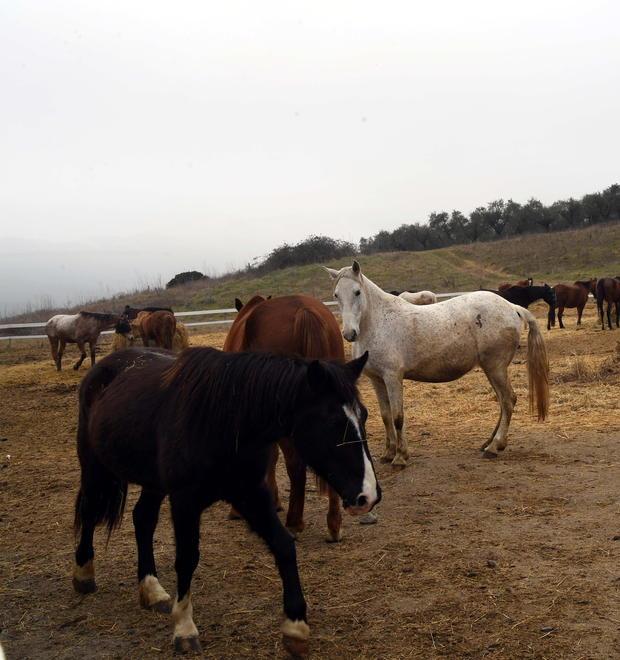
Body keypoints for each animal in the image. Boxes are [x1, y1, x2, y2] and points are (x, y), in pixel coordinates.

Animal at [72, 346, 379, 655]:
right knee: (90, 510)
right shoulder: (185, 501)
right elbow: (187, 558)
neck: (226, 423)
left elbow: (284, 546)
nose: (369, 496)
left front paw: (295, 627)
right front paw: (184, 628)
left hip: (153, 483)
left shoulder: (251, 495)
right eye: (333, 422)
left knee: (143, 518)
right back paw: (84, 573)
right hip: (94, 465)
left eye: (363, 415)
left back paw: (152, 589)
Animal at [325, 261, 549, 465]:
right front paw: (388, 454)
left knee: (508, 400)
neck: (379, 322)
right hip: (491, 369)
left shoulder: (392, 378)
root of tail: (512, 307)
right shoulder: (377, 380)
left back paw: (494, 447)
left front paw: (400, 457)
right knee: (503, 402)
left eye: (357, 292)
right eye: (336, 295)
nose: (349, 333)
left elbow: (398, 417)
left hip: (496, 367)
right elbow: (386, 416)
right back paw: (490, 443)